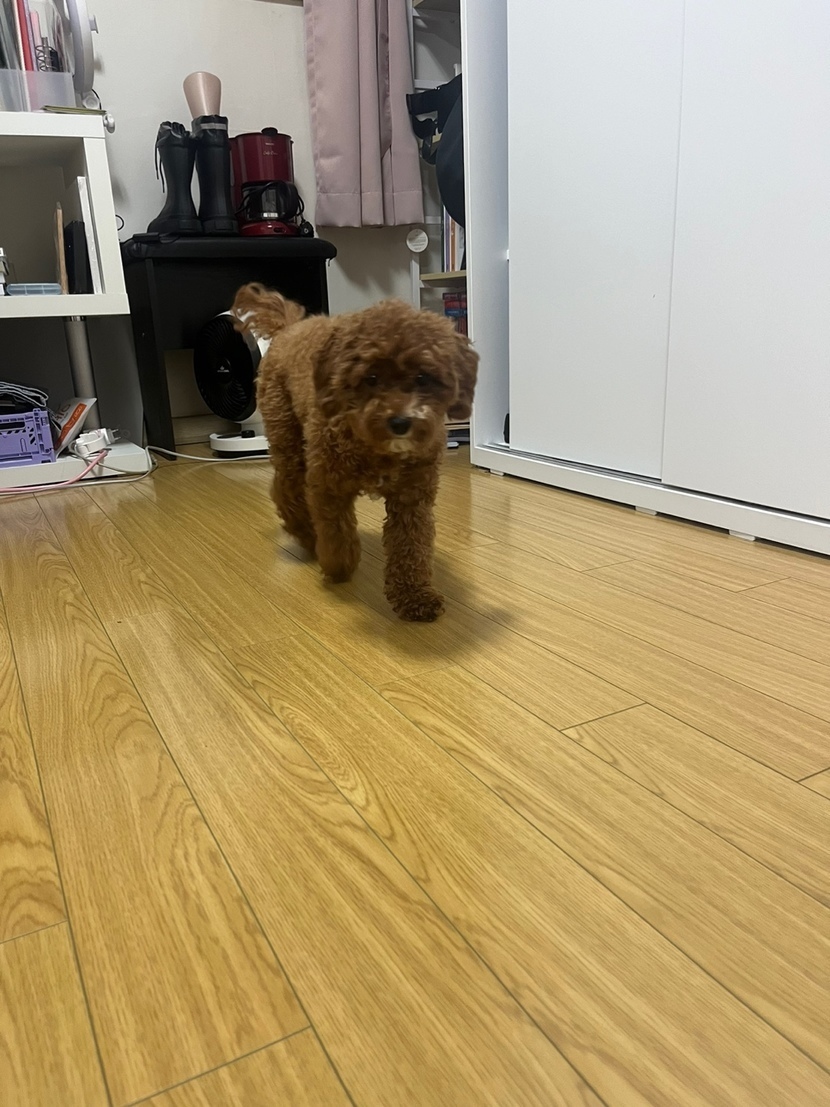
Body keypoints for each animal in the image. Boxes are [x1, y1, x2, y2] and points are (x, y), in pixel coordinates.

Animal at [231, 283, 478, 621]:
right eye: (370, 378)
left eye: (422, 378)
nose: (400, 422)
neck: (375, 446)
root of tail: (289, 329)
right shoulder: (328, 487)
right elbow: (337, 533)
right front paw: (339, 566)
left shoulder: (412, 497)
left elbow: (411, 546)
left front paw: (414, 596)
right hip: (288, 438)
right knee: (285, 490)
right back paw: (305, 534)